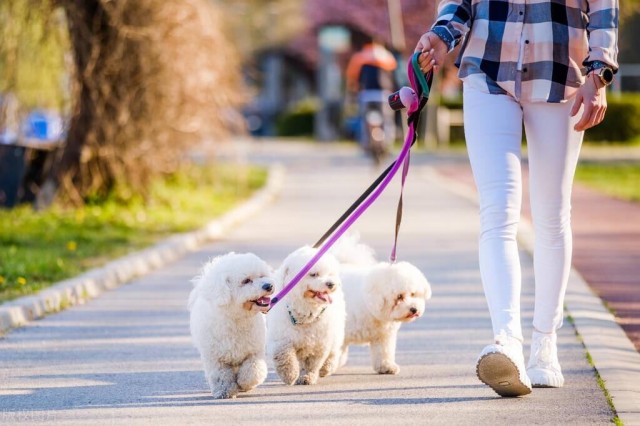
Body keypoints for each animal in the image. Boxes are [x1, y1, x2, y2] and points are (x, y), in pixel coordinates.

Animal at [188, 251, 272, 398]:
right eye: (246, 281)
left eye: (262, 276)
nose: (268, 286)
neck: (236, 318)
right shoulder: (215, 359)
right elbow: (220, 376)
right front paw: (224, 391)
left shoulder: (254, 352)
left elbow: (253, 371)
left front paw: (243, 383)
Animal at [266, 245, 344, 384]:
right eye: (313, 274)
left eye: (330, 274)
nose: (331, 284)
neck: (306, 312)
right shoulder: (281, 338)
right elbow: (284, 356)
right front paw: (289, 374)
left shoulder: (318, 342)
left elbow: (312, 363)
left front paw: (307, 376)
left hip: (335, 331)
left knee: (333, 350)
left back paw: (326, 367)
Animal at [332, 235, 432, 374]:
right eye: (399, 297)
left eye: (413, 294)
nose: (414, 309)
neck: (369, 306)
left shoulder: (383, 336)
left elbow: (384, 352)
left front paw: (387, 366)